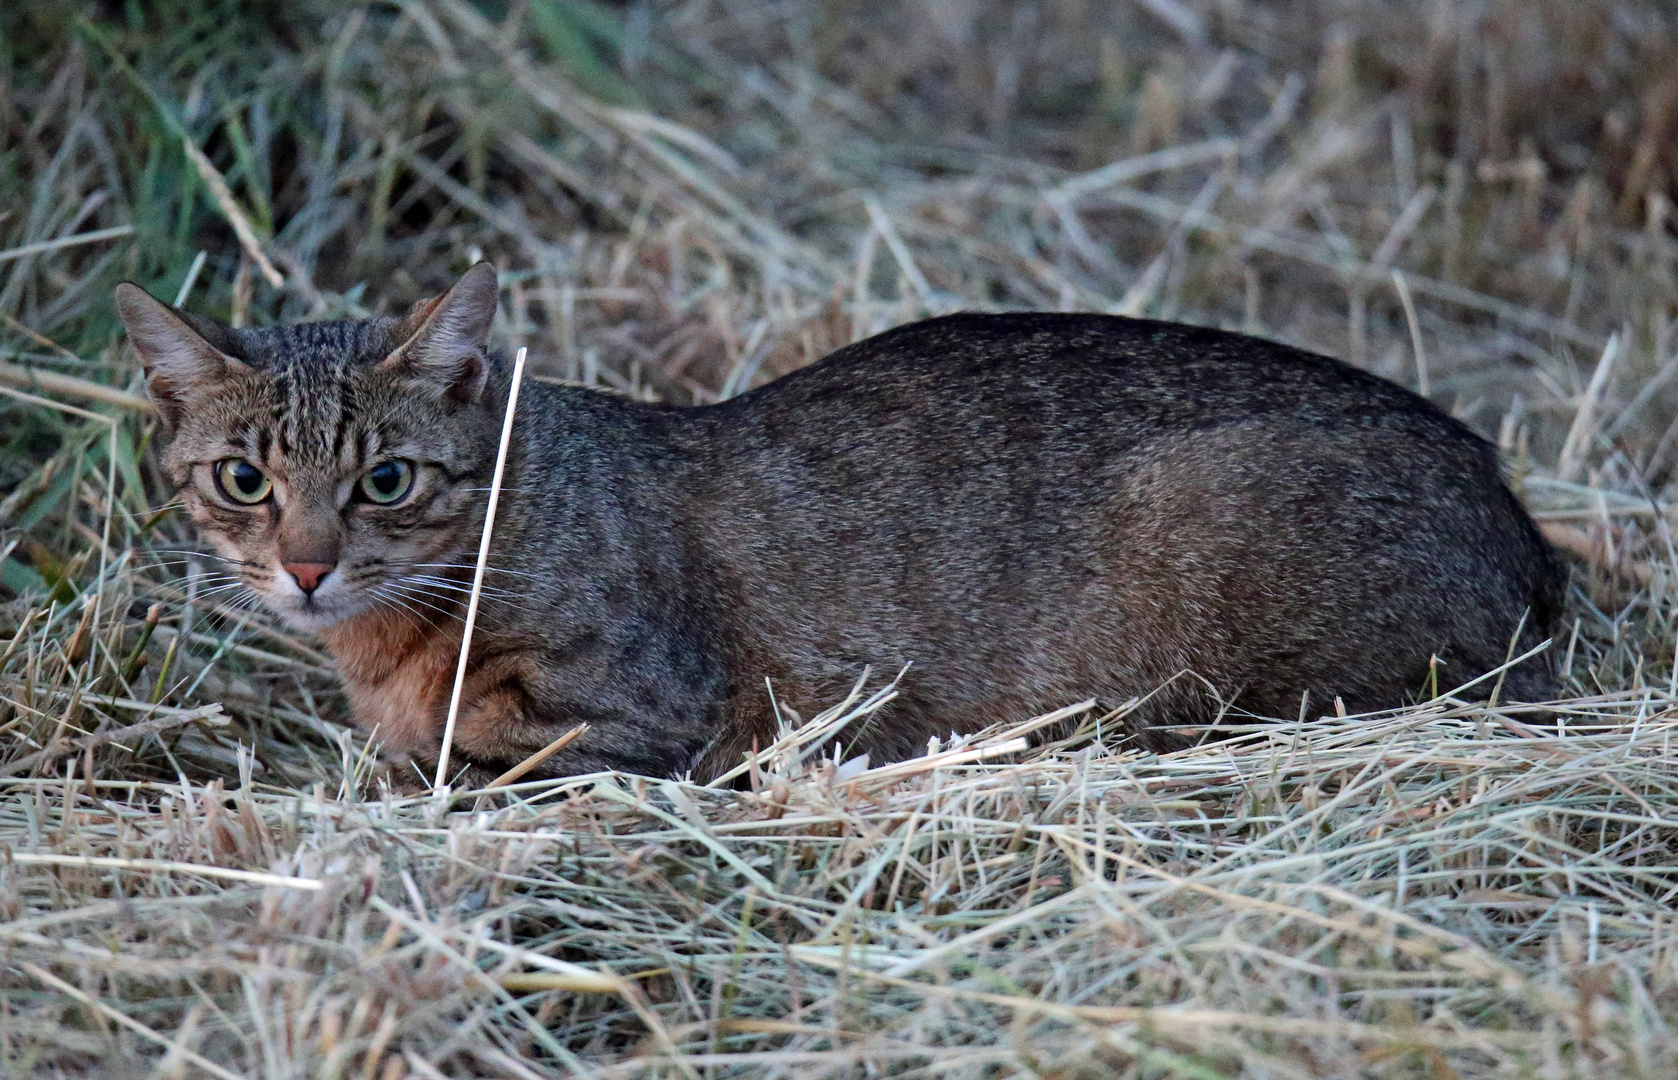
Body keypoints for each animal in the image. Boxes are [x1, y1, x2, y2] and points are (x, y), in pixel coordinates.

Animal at [111, 264, 1563, 781]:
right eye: (244, 480)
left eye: (387, 480)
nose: (307, 568)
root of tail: (1525, 528)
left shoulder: (637, 721)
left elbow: (468, 760)